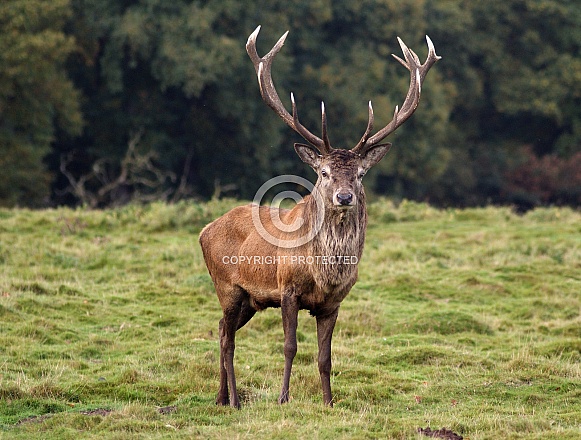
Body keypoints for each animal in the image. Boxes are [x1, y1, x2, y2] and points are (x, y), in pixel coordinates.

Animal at [197, 24, 438, 410]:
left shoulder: (333, 303)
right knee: (228, 339)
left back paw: (219, 397)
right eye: (324, 172)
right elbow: (290, 347)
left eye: (360, 174)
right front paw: (283, 398)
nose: (344, 196)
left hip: (250, 300)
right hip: (228, 286)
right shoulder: (287, 289)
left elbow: (326, 357)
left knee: (221, 329)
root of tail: (204, 230)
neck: (323, 272)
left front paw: (329, 402)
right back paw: (234, 399)